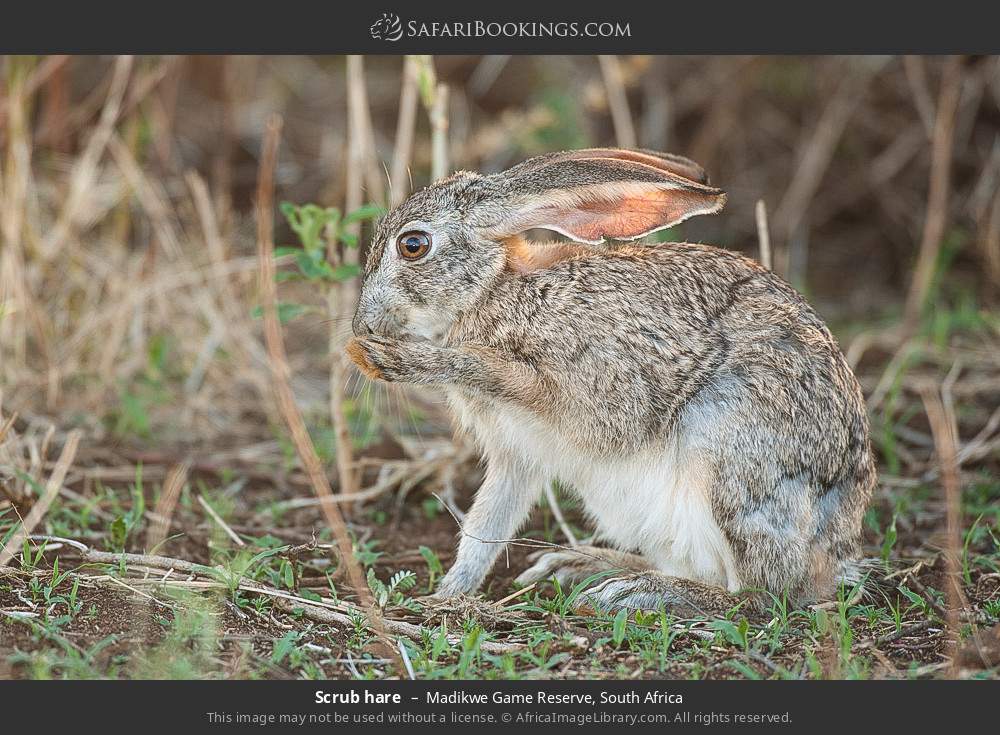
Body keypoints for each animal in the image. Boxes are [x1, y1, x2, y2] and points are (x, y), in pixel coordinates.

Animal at [345, 147, 876, 615]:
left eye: (413, 245)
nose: (362, 324)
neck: (491, 290)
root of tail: (837, 552)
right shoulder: (517, 453)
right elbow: (486, 525)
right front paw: (445, 595)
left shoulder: (570, 387)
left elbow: (493, 372)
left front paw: (396, 358)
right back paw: (581, 567)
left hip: (731, 458)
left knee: (764, 593)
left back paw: (640, 593)